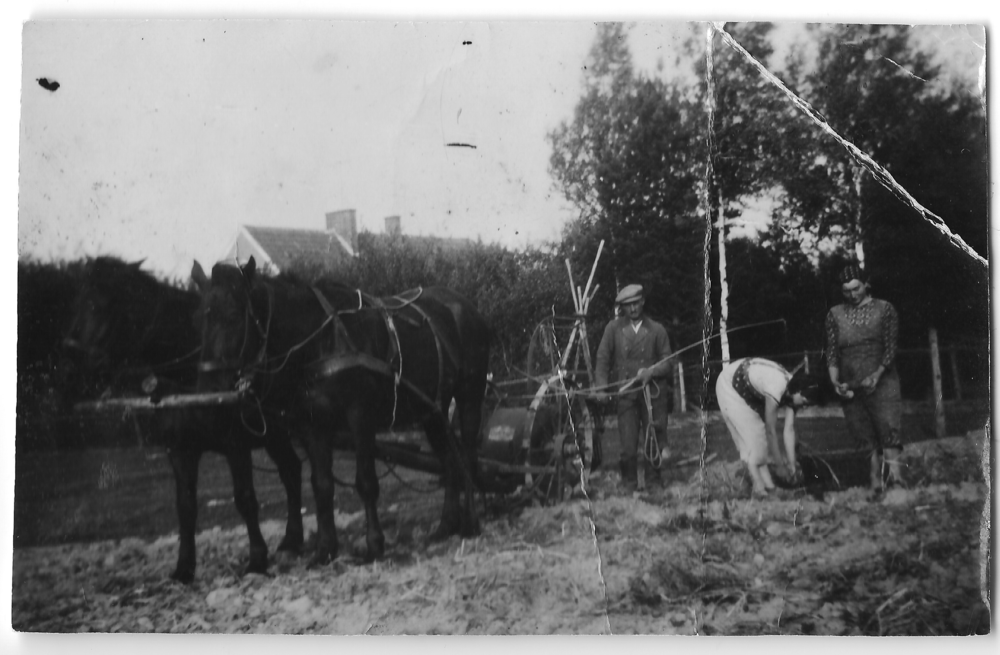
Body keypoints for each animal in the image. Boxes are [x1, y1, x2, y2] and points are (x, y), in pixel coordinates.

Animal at [60, 258, 302, 580]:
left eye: (102, 304)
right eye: (76, 302)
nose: (70, 361)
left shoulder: (236, 445)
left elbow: (245, 499)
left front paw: (256, 559)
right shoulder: (179, 449)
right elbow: (185, 506)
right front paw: (184, 567)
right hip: (276, 434)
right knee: (292, 471)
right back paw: (292, 541)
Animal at [193, 256, 490, 564]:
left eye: (233, 316)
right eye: (200, 319)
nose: (208, 395)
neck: (322, 340)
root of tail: (466, 307)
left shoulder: (360, 418)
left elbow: (366, 482)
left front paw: (374, 544)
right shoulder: (313, 425)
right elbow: (322, 485)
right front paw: (325, 548)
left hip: (469, 397)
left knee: (468, 456)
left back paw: (470, 523)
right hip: (432, 410)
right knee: (449, 461)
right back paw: (446, 525)